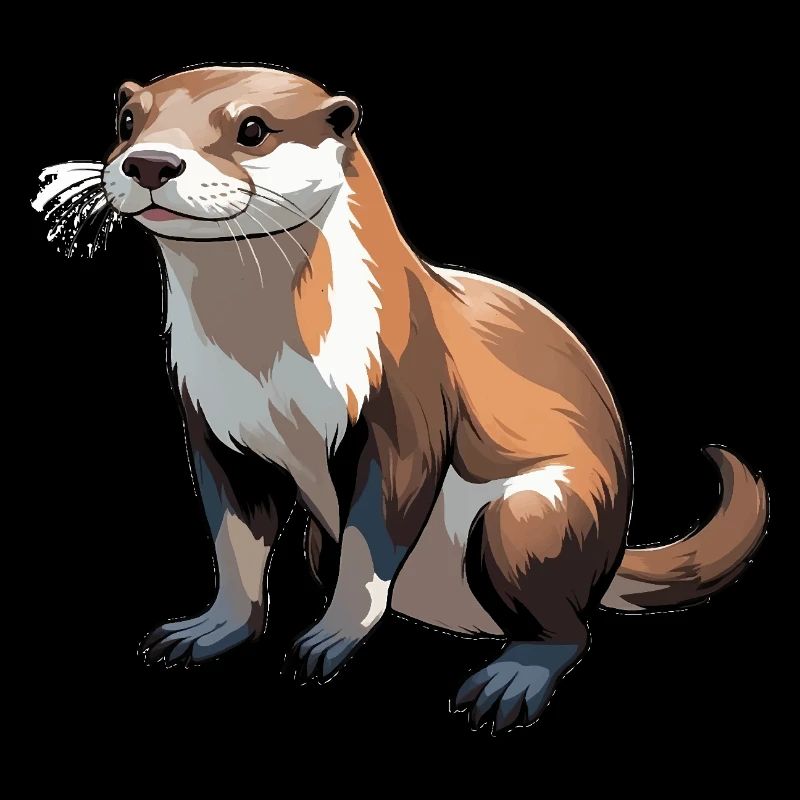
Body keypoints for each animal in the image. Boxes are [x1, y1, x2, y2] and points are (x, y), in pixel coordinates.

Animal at [33, 65, 768, 733]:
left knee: (568, 629)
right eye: (128, 120)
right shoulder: (214, 425)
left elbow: (373, 538)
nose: (150, 162)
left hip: (538, 516)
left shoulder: (404, 404)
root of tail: (611, 552)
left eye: (252, 128)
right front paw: (210, 629)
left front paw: (330, 639)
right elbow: (234, 540)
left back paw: (510, 681)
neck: (266, 369)